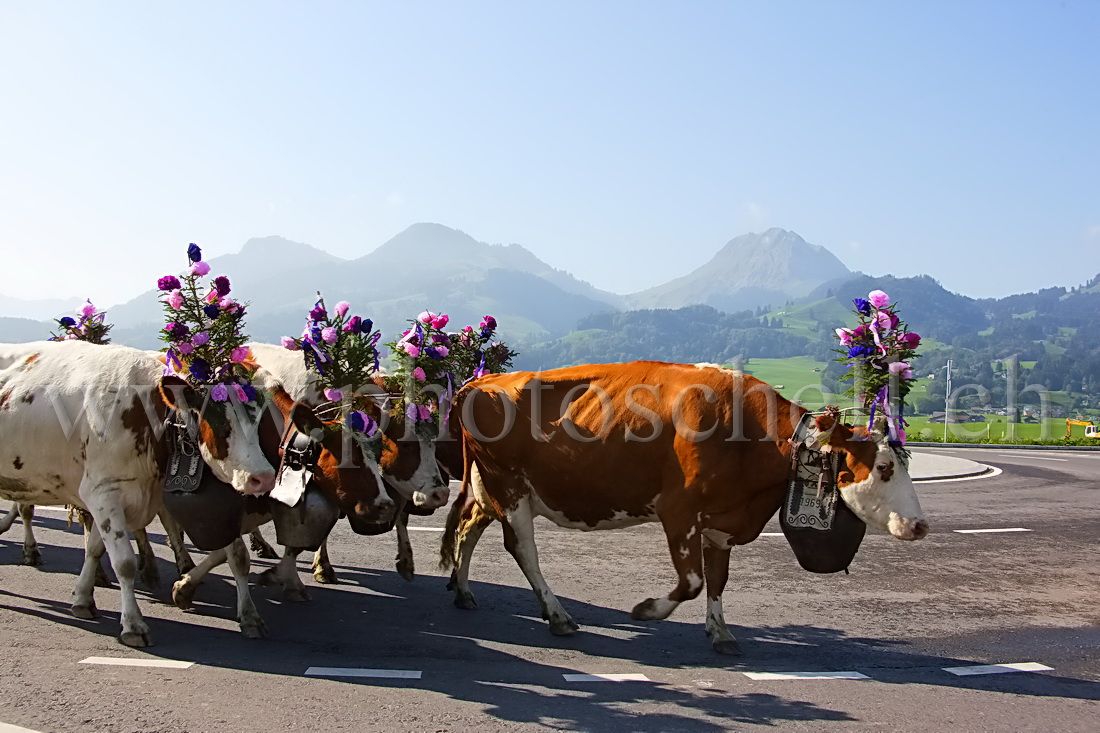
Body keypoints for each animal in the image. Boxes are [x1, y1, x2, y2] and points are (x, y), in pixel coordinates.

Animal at [0, 338, 279, 642]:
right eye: (219, 422)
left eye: (258, 421)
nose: (264, 477)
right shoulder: (103, 492)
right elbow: (124, 562)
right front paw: (133, 624)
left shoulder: (111, 497)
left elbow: (95, 548)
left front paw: (83, 599)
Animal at [437, 363, 928, 651]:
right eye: (884, 468)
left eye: (906, 463)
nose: (921, 526)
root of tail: (482, 380)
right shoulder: (679, 511)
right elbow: (692, 582)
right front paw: (647, 610)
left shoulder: (721, 522)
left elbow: (718, 579)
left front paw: (721, 631)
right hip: (510, 487)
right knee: (523, 549)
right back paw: (557, 615)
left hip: (489, 486)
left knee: (467, 527)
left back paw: (462, 591)